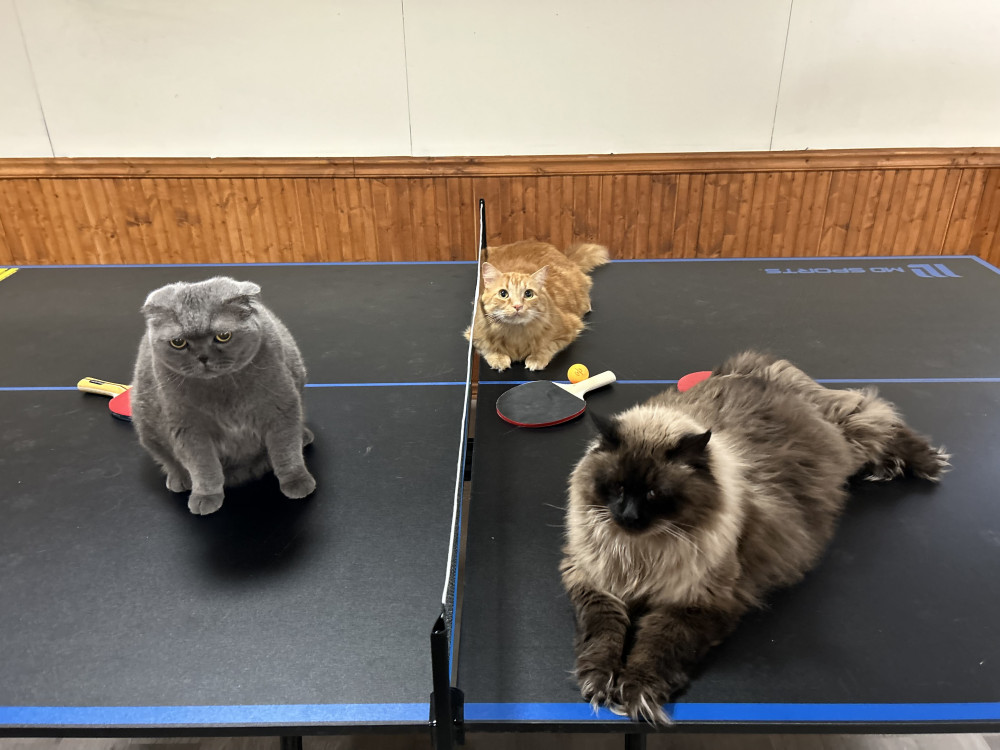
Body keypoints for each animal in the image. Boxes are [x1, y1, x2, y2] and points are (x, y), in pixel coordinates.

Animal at [131, 276, 316, 516]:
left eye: (223, 336)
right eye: (178, 342)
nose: (202, 357)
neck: (223, 391)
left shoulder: (281, 407)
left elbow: (286, 451)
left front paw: (296, 480)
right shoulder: (188, 428)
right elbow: (203, 466)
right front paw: (206, 496)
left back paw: (304, 436)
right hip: (146, 427)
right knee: (169, 460)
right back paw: (180, 479)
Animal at [465, 240, 609, 371]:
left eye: (528, 294)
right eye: (503, 294)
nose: (517, 306)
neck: (516, 334)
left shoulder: (570, 329)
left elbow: (548, 346)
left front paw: (536, 358)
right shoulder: (474, 334)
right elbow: (487, 348)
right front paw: (498, 358)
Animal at [560, 351, 949, 723]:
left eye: (654, 494)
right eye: (618, 487)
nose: (628, 516)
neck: (641, 554)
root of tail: (747, 368)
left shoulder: (693, 603)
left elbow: (654, 647)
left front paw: (638, 693)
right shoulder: (598, 585)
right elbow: (603, 638)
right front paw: (599, 682)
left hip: (849, 434)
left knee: (882, 419)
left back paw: (928, 462)